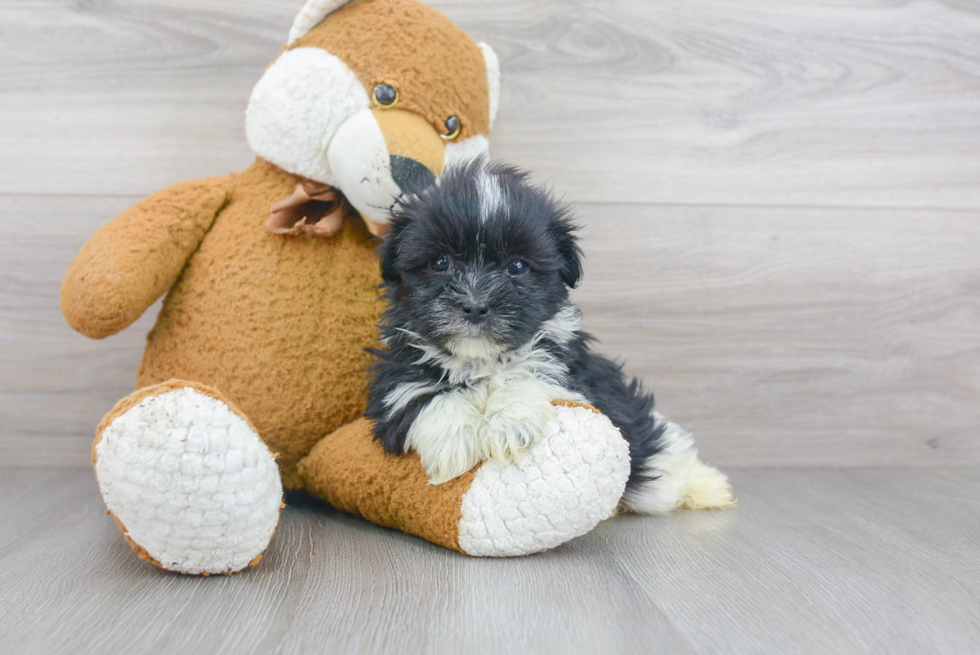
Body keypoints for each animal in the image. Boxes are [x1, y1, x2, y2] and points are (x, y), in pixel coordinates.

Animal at [368, 161, 736, 516]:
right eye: (440, 262)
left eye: (517, 267)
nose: (474, 306)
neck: (481, 359)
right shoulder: (392, 379)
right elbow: (419, 394)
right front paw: (456, 439)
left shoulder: (574, 374)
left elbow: (531, 374)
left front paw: (509, 424)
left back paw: (708, 488)